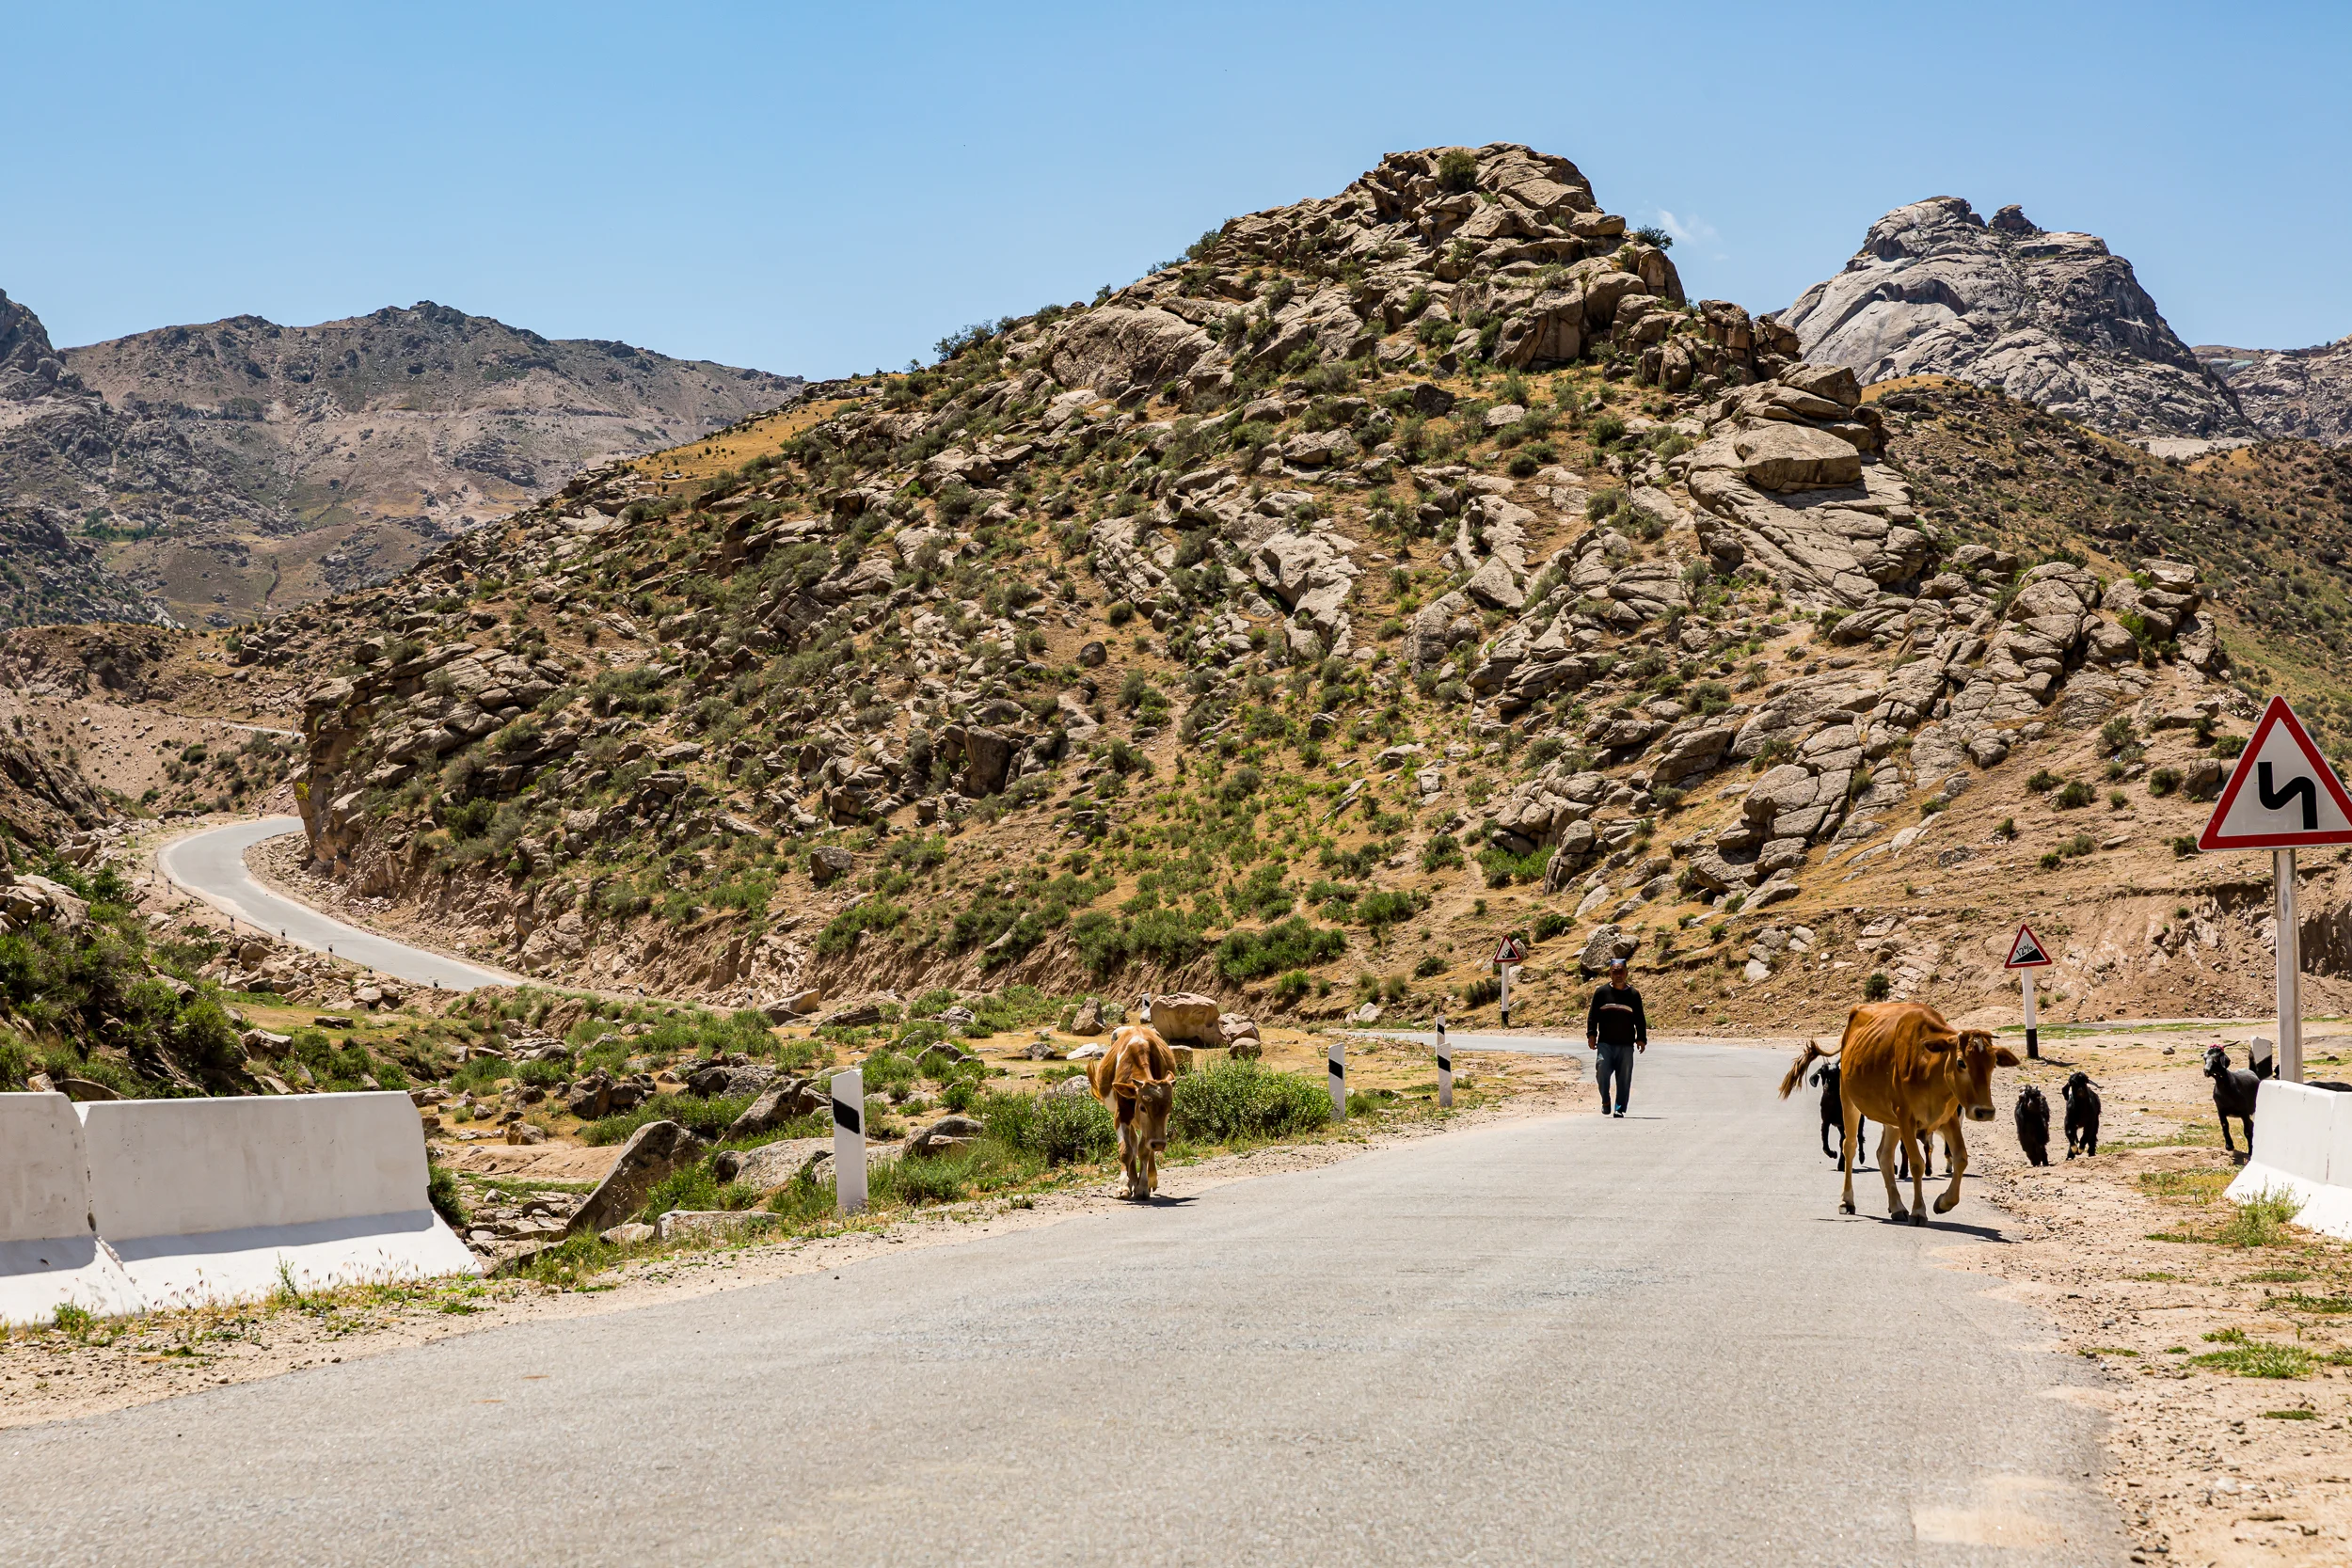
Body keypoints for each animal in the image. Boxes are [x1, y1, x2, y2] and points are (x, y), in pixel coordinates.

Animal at [1091, 1020, 1185, 1203]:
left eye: (1169, 1109)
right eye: (1142, 1107)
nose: (1159, 1144)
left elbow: (1144, 1151)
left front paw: (1142, 1187)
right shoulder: (1121, 1115)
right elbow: (1126, 1150)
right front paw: (1124, 1186)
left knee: (1143, 1146)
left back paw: (1149, 1179)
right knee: (1133, 1142)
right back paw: (1132, 1180)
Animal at [1778, 1006, 2023, 1222]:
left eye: (1993, 1065)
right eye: (1961, 1062)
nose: (1985, 1111)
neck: (1930, 1069)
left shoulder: (1948, 1119)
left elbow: (1960, 1158)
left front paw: (1943, 1203)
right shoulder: (1906, 1118)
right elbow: (1916, 1163)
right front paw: (1919, 1211)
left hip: (1891, 1120)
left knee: (1884, 1155)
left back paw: (1896, 1207)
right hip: (1851, 1103)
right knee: (1850, 1147)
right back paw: (1847, 1201)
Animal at [2201, 1043, 2258, 1165]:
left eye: (2216, 1058)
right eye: (2205, 1058)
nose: (2206, 1070)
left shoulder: (2244, 1112)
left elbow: (2247, 1131)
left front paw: (2251, 1152)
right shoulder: (2220, 1110)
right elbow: (2225, 1125)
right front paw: (2229, 1146)